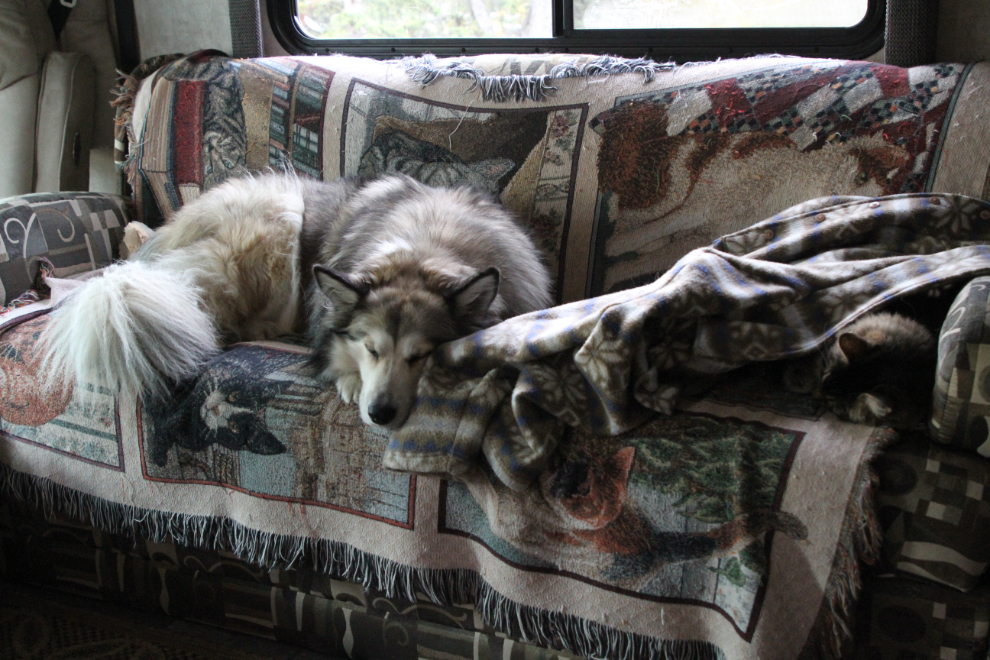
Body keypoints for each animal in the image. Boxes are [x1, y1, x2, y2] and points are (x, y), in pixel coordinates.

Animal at [42, 173, 556, 428]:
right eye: (371, 348)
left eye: (422, 356)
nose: (380, 414)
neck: (427, 247)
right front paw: (349, 379)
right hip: (279, 222)